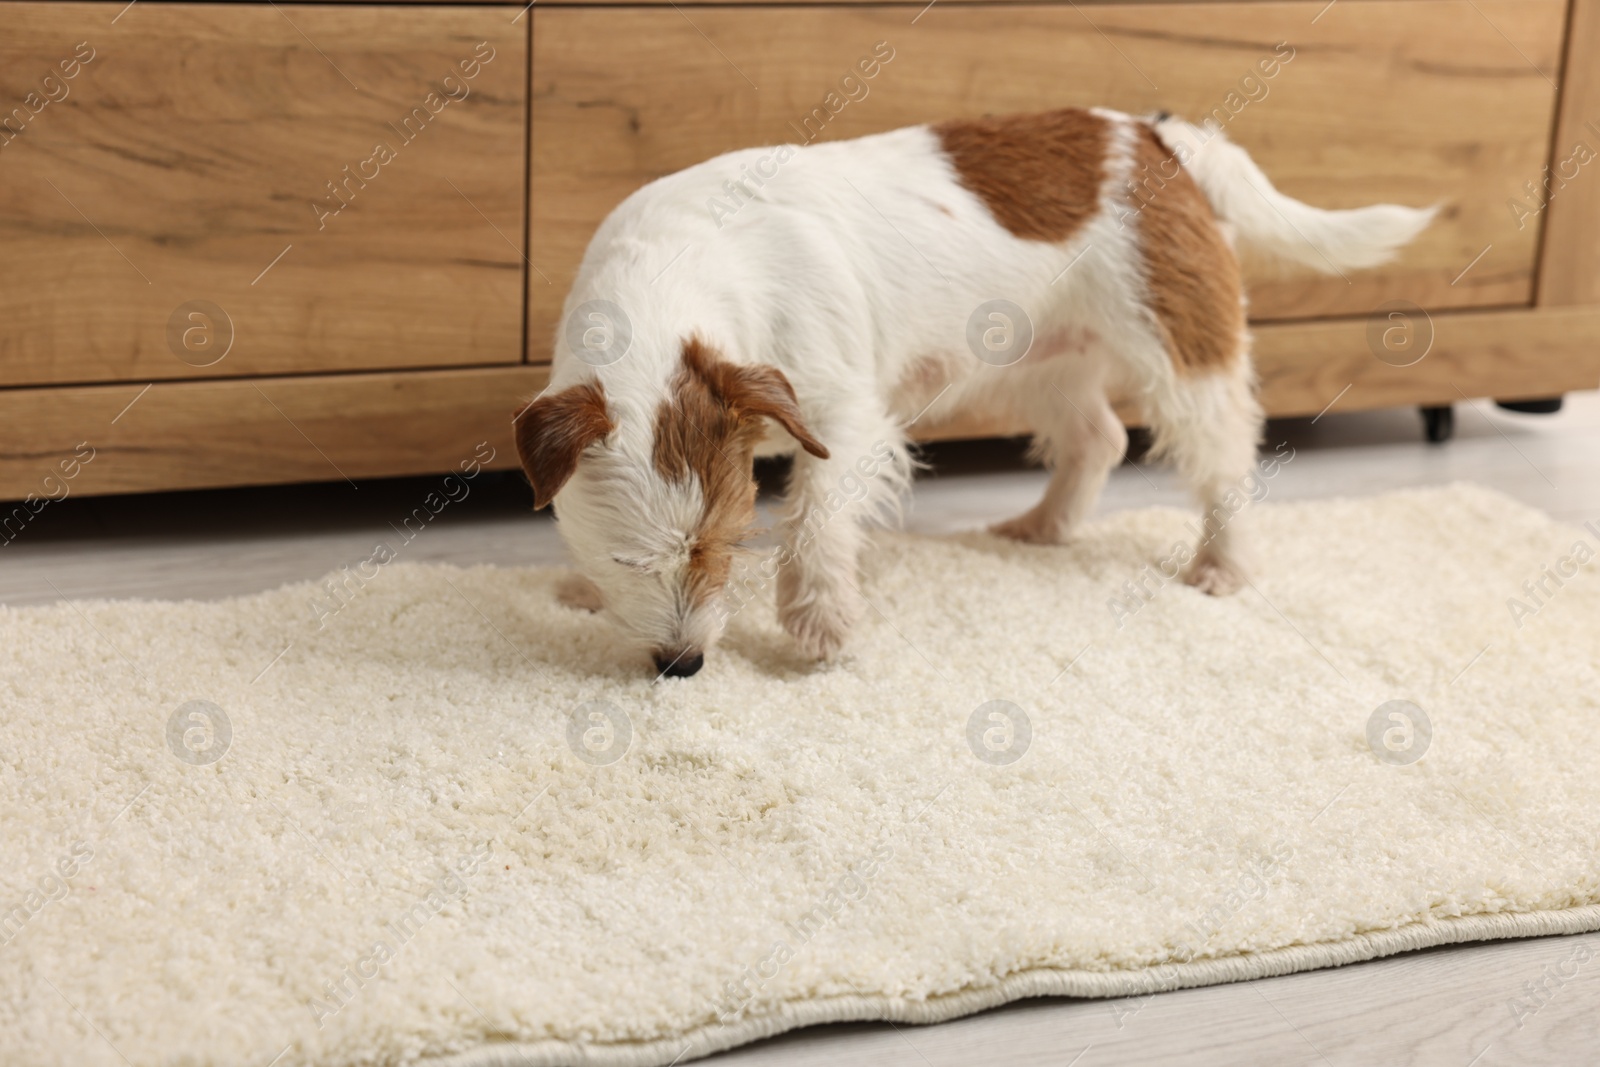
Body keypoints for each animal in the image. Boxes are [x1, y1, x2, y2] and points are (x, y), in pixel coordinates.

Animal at [515, 108, 1440, 675]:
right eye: (629, 560)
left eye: (721, 545)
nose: (683, 664)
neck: (680, 273)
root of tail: (1154, 135)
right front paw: (582, 592)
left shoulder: (845, 420)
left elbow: (816, 521)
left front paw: (821, 623)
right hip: (1043, 362)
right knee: (1099, 436)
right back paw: (1045, 524)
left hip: (1182, 354)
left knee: (1224, 460)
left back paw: (1222, 564)